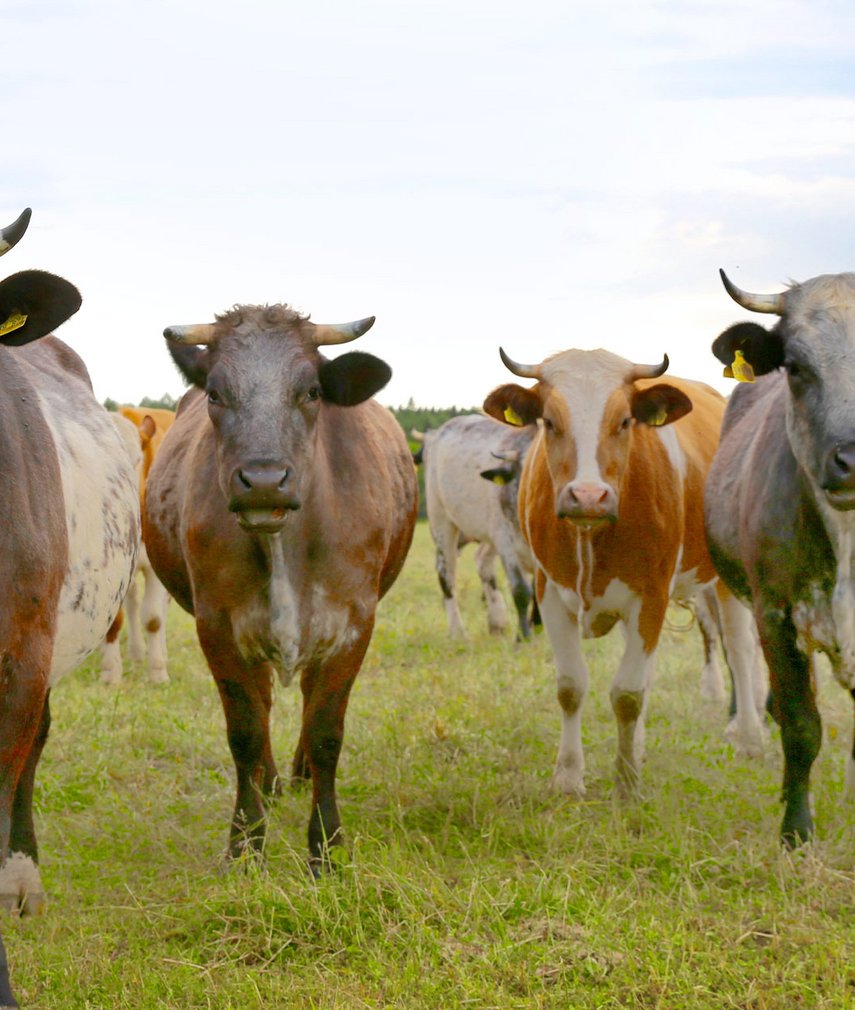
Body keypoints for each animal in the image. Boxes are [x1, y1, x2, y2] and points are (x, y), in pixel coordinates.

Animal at [143, 296, 417, 868]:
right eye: (216, 392)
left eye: (311, 391)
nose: (264, 481)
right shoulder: (219, 627)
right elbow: (246, 731)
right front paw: (245, 845)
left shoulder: (352, 624)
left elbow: (326, 731)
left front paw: (326, 847)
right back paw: (269, 783)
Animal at [480, 349, 767, 803]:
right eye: (549, 421)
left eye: (625, 421)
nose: (588, 496)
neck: (591, 534)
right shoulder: (550, 592)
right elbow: (572, 687)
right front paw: (569, 776)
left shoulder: (651, 595)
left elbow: (628, 693)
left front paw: (627, 782)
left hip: (724, 576)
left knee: (739, 649)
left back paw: (750, 739)